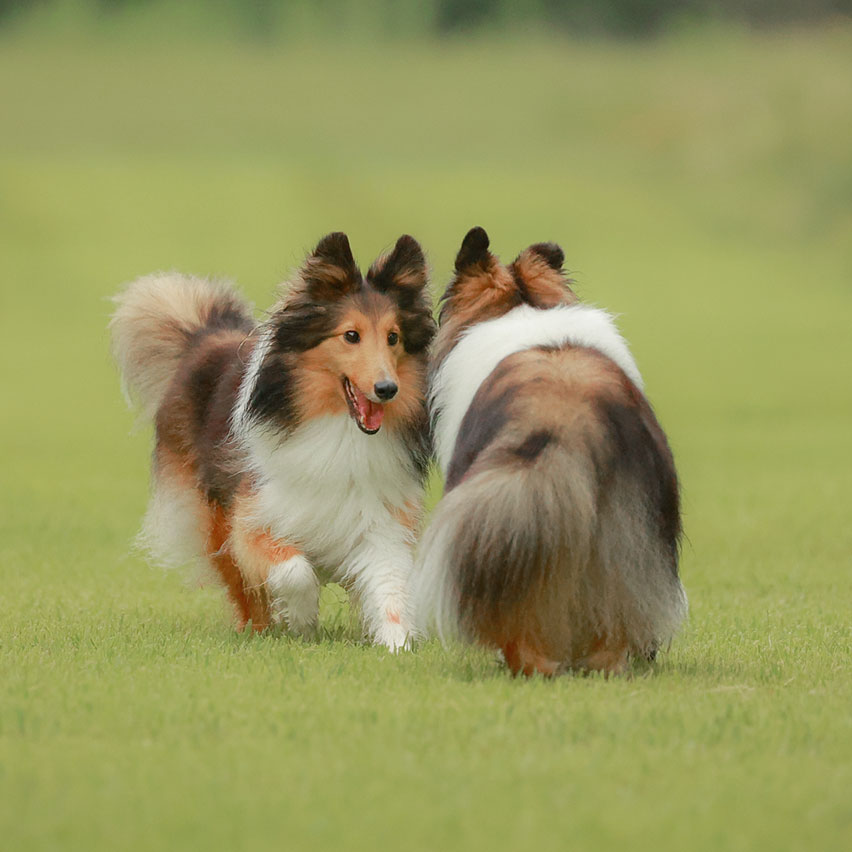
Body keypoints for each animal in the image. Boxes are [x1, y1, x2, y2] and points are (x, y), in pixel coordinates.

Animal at [111, 230, 432, 648]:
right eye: (351, 335)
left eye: (393, 337)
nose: (387, 389)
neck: (340, 431)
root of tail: (205, 336)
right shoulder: (254, 515)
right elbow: (294, 571)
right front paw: (301, 619)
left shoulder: (382, 519)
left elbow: (390, 588)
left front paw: (398, 646)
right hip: (214, 515)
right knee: (243, 589)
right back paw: (259, 630)